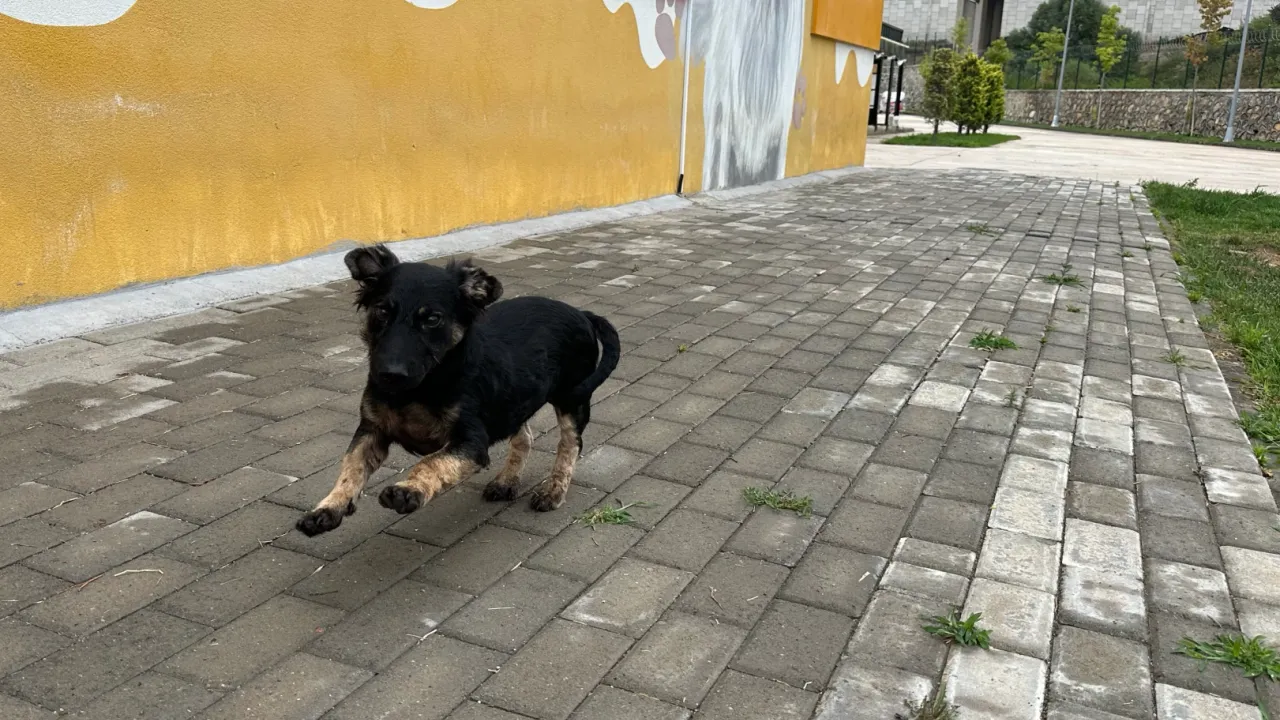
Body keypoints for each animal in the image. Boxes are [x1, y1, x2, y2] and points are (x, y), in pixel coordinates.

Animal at [296, 245, 620, 537]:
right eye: (382, 311)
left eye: (432, 319)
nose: (389, 375)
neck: (420, 388)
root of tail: (581, 312)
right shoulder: (371, 429)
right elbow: (350, 468)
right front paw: (328, 507)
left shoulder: (471, 442)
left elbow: (432, 461)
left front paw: (408, 490)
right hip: (514, 400)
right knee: (524, 437)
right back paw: (506, 481)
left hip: (572, 398)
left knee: (570, 444)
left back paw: (553, 491)